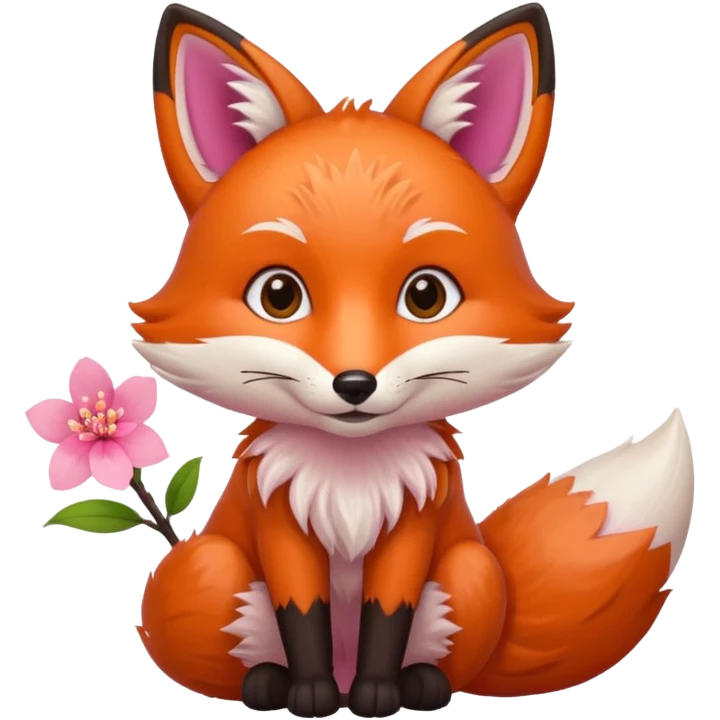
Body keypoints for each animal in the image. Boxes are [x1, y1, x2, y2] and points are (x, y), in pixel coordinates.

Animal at [131, 2, 696, 717]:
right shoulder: (279, 519)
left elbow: (387, 611)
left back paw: (419, 683)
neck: (351, 477)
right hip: (210, 570)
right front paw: (310, 692)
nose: (354, 383)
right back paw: (268, 682)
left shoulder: (415, 525)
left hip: (469, 571)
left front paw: (379, 692)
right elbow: (302, 612)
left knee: (443, 650)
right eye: (279, 295)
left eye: (426, 295)